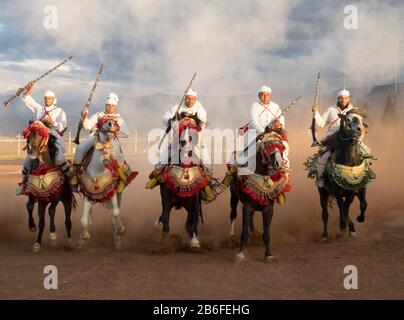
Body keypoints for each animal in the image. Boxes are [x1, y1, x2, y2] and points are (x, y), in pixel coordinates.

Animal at [22, 120, 76, 252]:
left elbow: (52, 211)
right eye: (28, 134)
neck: (43, 169)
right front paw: (36, 240)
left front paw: (53, 235)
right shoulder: (38, 197)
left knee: (67, 221)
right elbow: (36, 215)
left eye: (41, 135)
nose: (31, 150)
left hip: (66, 200)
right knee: (42, 214)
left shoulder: (56, 196)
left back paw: (69, 241)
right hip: (41, 200)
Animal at [76, 115, 137, 250]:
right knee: (89, 218)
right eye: (100, 122)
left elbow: (115, 213)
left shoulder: (112, 192)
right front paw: (84, 237)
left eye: (115, 122)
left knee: (115, 216)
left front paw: (121, 230)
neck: (99, 169)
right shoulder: (87, 196)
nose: (111, 124)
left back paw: (117, 240)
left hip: (119, 193)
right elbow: (83, 220)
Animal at [227, 129, 290, 262]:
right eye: (268, 145)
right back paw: (231, 236)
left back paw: (253, 235)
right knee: (233, 214)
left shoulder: (268, 209)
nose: (278, 163)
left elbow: (266, 234)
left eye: (281, 145)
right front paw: (240, 253)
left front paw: (268, 254)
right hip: (233, 196)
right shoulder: (247, 207)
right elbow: (244, 232)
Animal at [318, 110, 372, 240]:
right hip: (322, 192)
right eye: (347, 119)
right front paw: (342, 225)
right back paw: (325, 234)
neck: (349, 162)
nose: (360, 130)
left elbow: (357, 204)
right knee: (325, 213)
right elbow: (341, 204)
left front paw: (356, 221)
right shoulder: (335, 188)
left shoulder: (353, 187)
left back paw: (350, 227)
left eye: (361, 120)